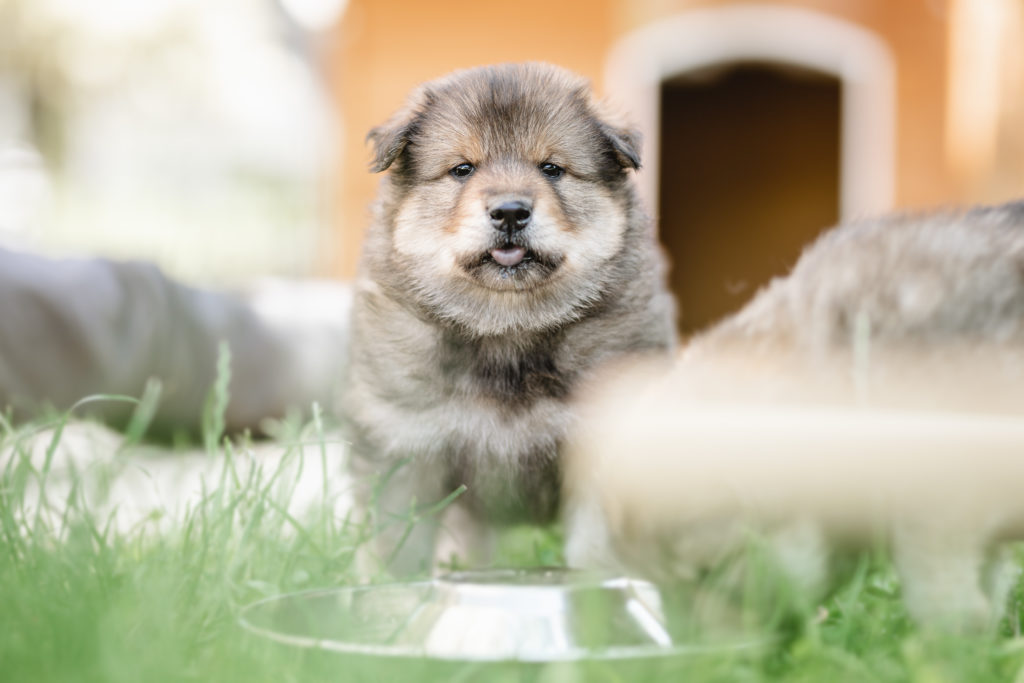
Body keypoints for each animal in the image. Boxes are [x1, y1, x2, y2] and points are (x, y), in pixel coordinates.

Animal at [346, 63, 679, 573]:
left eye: (551, 168)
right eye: (462, 169)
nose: (509, 212)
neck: (508, 327)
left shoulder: (602, 447)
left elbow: (594, 547)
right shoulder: (404, 442)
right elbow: (398, 544)